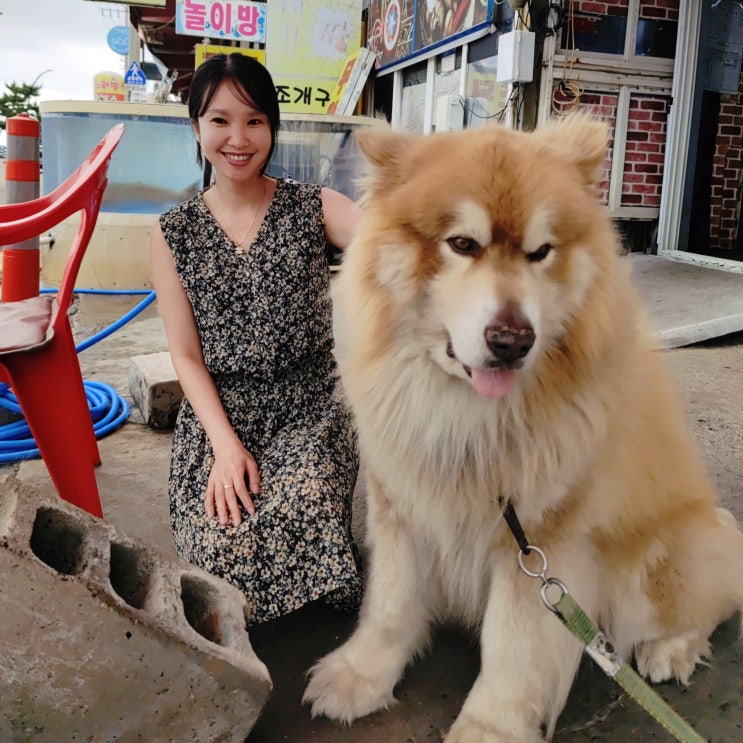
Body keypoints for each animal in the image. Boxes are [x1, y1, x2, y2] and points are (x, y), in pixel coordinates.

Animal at [302, 113, 743, 740]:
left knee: (715, 595)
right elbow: (389, 605)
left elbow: (513, 646)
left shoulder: (539, 543)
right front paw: (360, 675)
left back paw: (671, 650)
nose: (512, 340)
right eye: (462, 244)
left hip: (658, 564)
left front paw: (490, 727)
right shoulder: (402, 509)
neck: (469, 416)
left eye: (540, 252)